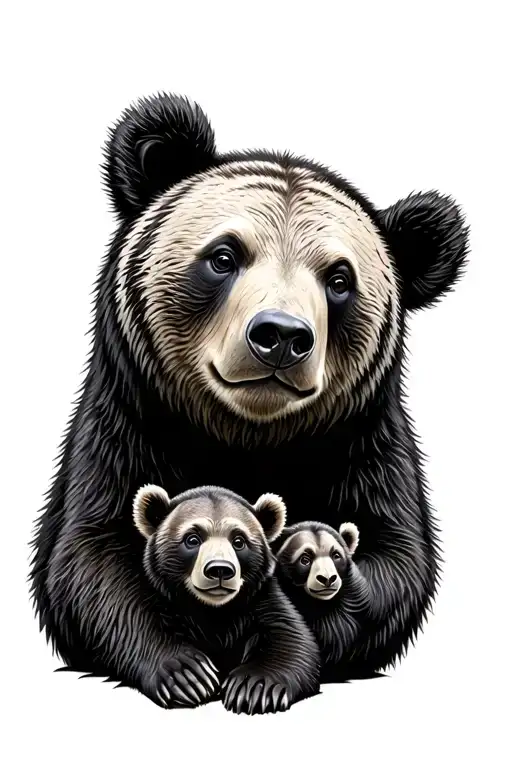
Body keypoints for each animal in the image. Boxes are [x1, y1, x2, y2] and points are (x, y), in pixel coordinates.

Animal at [131, 483, 320, 713]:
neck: (214, 609)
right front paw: (188, 676)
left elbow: (291, 639)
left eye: (238, 541)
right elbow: (138, 624)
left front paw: (253, 688)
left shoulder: (260, 600)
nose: (220, 569)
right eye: (192, 539)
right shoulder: (160, 597)